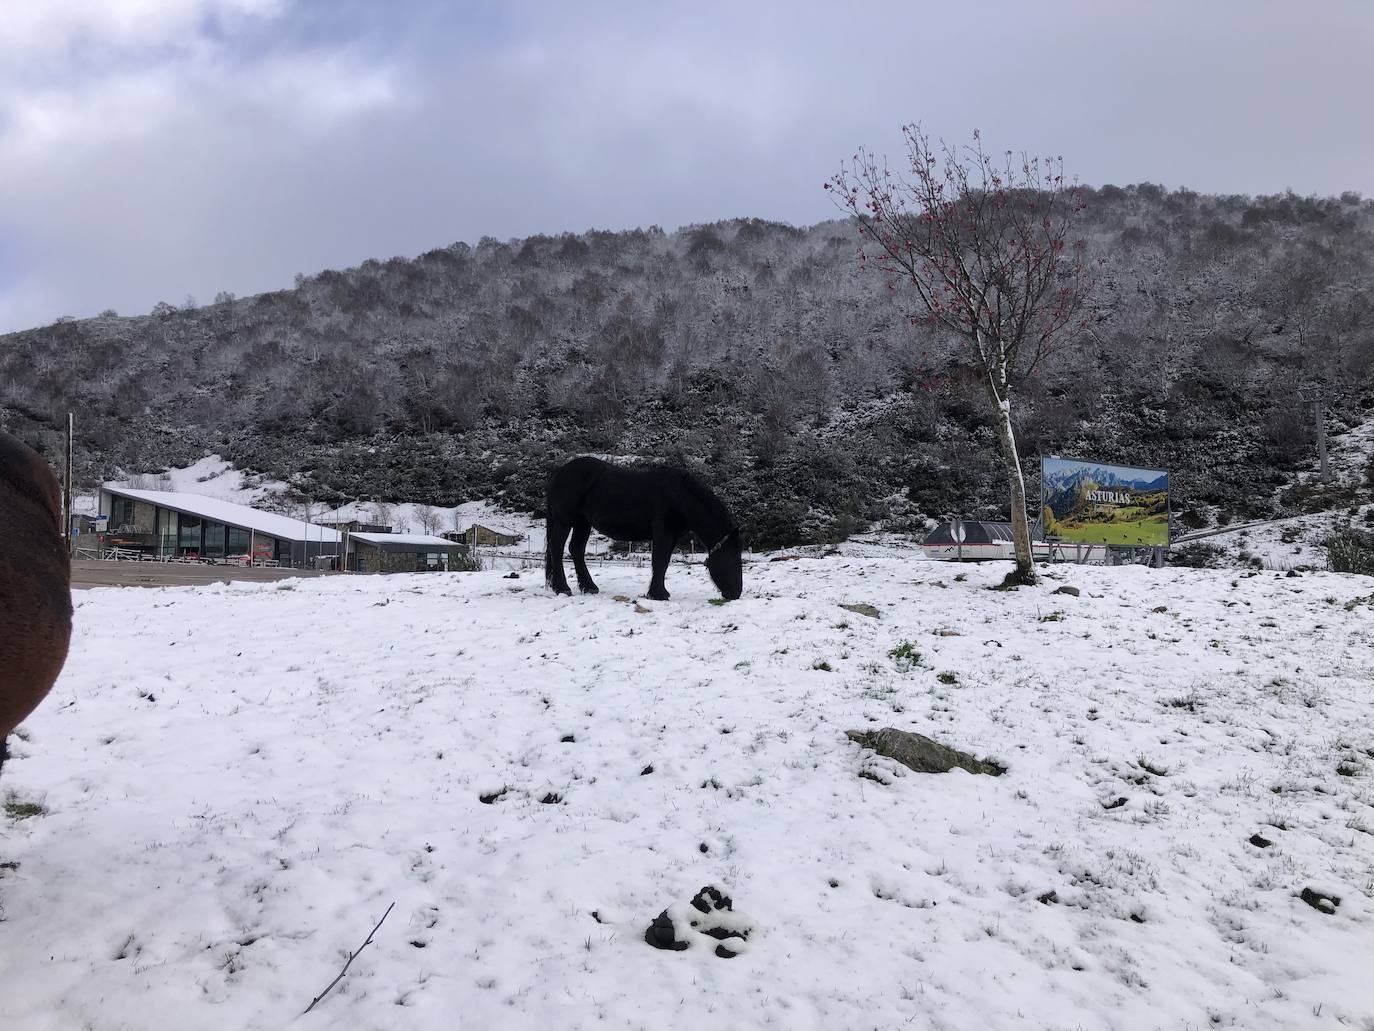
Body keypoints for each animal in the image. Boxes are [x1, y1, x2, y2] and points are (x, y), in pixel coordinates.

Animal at [544, 456, 747, 602]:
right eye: (733, 557)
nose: (736, 593)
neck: (680, 496)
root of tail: (559, 472)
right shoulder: (663, 532)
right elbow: (660, 561)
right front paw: (658, 594)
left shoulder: (672, 536)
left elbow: (663, 562)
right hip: (564, 521)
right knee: (557, 549)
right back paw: (562, 588)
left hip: (583, 523)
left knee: (576, 550)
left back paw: (589, 587)